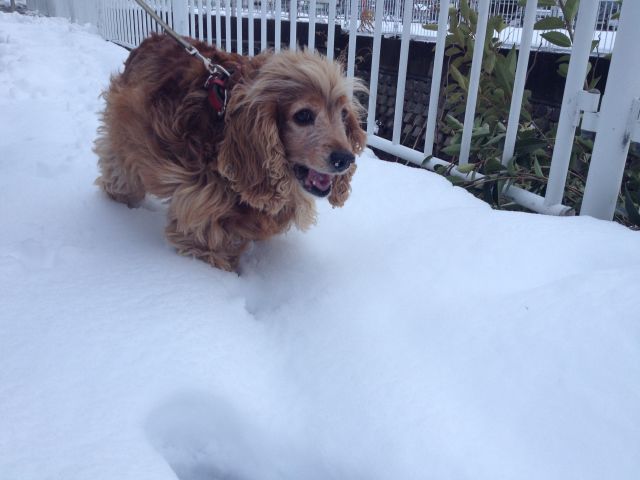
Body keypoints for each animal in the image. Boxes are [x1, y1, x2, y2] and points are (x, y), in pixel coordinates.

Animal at [94, 34, 364, 270]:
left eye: (343, 115)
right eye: (304, 115)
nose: (345, 159)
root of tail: (149, 40)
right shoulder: (201, 218)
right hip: (126, 136)